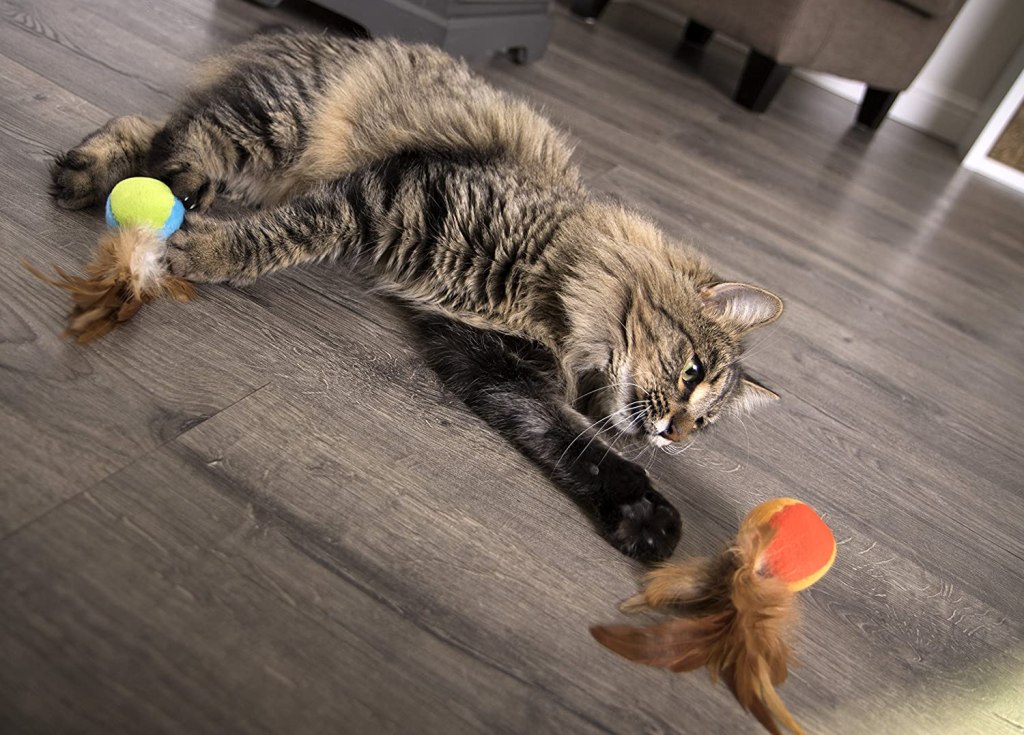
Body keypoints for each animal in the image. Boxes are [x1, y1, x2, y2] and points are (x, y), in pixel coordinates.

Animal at [49, 30, 782, 565]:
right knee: (181, 134)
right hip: (274, 129)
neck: (553, 298)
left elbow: (575, 444)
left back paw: (86, 172)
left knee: (148, 125)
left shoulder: (490, 360)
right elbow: (289, 235)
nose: (676, 435)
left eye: (706, 422)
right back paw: (162, 184)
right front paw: (204, 253)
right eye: (691, 371)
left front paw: (644, 517)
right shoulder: (393, 196)